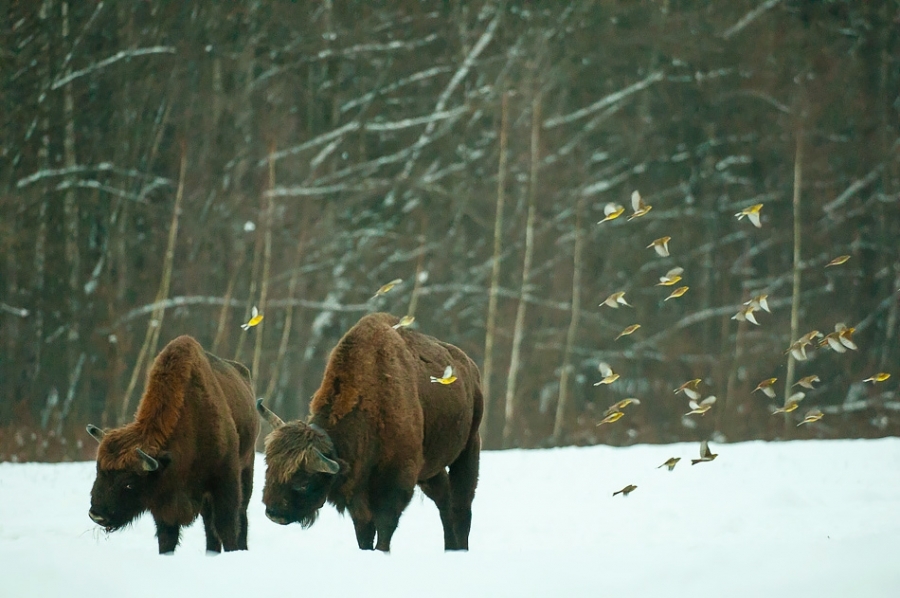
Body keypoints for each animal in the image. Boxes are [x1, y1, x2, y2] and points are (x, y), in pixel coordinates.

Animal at [86, 335, 259, 554]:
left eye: (129, 483)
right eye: (98, 471)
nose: (96, 515)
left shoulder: (225, 481)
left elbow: (226, 526)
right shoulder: (164, 502)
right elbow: (167, 536)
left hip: (246, 469)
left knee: (240, 517)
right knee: (209, 526)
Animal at [258, 312, 483, 552]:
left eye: (304, 482)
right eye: (269, 467)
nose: (274, 513)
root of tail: (469, 366)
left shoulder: (397, 481)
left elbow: (385, 525)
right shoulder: (358, 492)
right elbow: (364, 530)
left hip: (468, 449)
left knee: (461, 506)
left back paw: (461, 547)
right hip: (430, 468)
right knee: (444, 499)